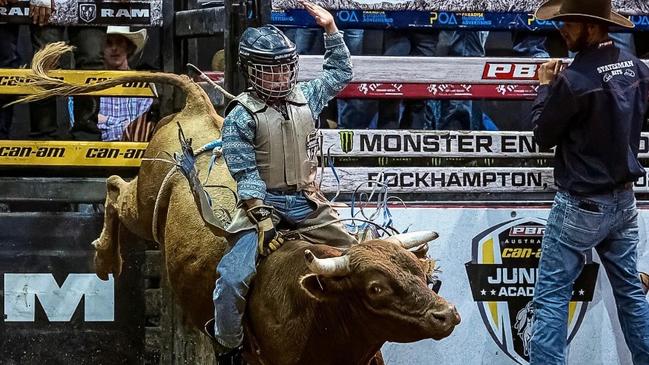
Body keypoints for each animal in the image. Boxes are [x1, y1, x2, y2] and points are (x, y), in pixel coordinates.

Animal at [19, 42, 456, 364]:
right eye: (376, 288)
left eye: (423, 274)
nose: (446, 314)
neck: (319, 313)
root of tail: (198, 107)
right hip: (145, 204)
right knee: (114, 188)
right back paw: (105, 258)